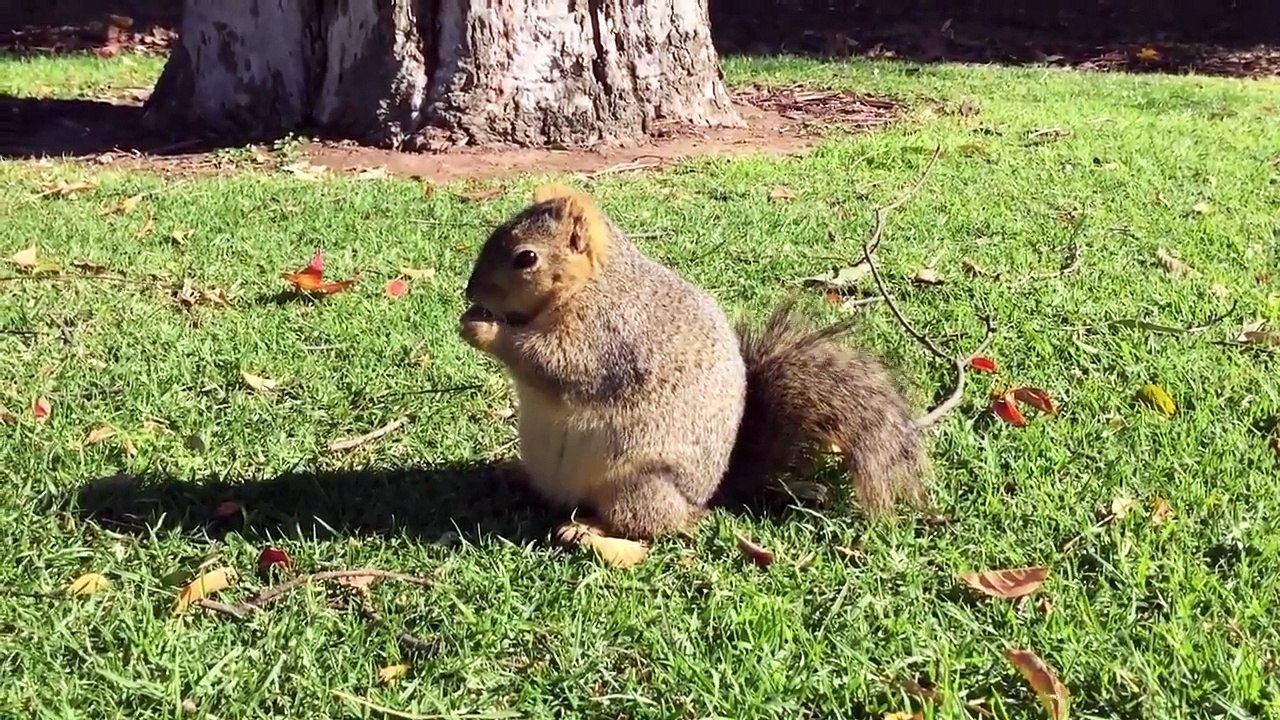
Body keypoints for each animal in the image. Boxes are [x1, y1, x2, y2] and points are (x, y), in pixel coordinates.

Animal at [458, 182, 930, 550]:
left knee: (652, 525)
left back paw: (587, 531)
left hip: (636, 483)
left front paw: (482, 329)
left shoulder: (606, 337)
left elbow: (553, 364)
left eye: (526, 258)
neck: (591, 285)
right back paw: (514, 473)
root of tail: (707, 496)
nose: (470, 292)